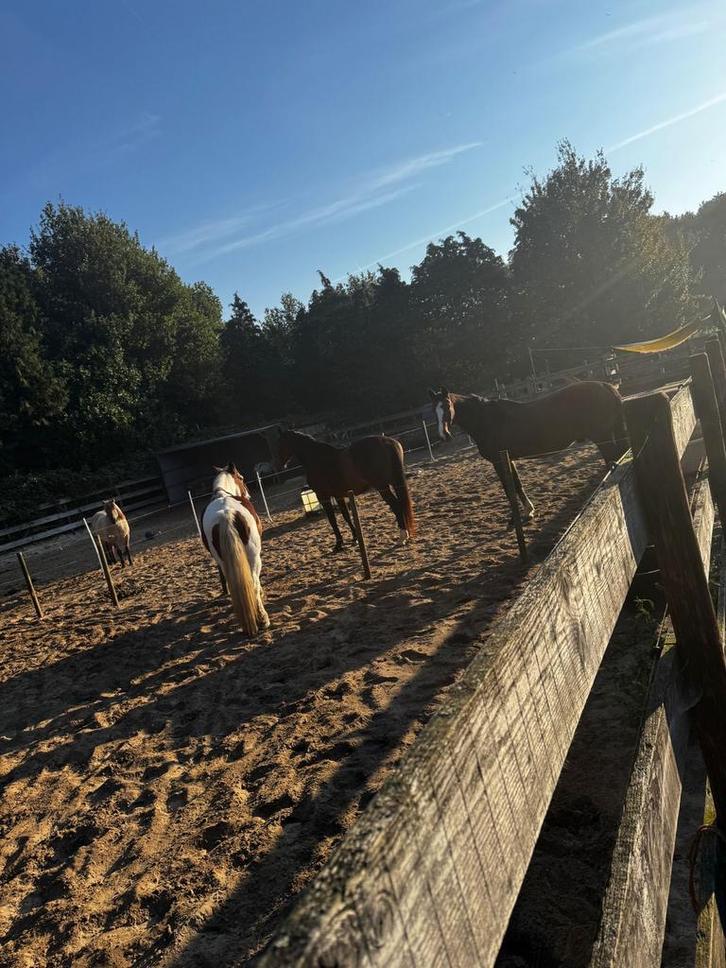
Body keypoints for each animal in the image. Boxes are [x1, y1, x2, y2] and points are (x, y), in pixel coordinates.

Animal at [201, 462, 268, 636]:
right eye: (242, 478)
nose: (248, 495)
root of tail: (226, 515)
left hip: (223, 561)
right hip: (254, 557)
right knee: (254, 583)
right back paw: (263, 619)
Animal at [277, 430, 416, 551]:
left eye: (279, 444)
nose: (279, 465)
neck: (317, 459)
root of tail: (387, 442)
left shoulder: (323, 497)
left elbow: (332, 520)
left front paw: (338, 545)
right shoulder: (339, 495)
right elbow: (346, 516)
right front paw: (355, 538)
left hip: (383, 486)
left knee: (396, 506)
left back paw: (402, 538)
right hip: (393, 483)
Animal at [428, 382, 628, 523]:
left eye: (446, 405)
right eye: (433, 411)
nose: (443, 435)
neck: (486, 421)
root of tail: (606, 386)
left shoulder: (498, 461)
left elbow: (509, 489)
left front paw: (515, 518)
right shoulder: (509, 459)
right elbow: (517, 484)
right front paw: (529, 511)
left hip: (602, 437)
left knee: (614, 459)